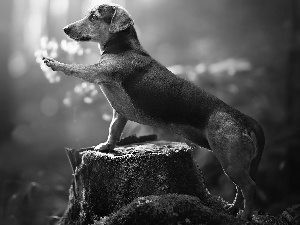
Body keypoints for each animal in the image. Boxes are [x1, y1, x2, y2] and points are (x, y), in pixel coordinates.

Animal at [41, 2, 264, 219]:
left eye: (93, 16)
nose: (65, 29)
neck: (122, 47)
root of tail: (241, 116)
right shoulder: (119, 113)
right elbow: (114, 130)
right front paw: (106, 146)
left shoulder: (98, 72)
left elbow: (75, 68)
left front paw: (53, 63)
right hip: (231, 160)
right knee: (240, 188)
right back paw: (233, 210)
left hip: (230, 160)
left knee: (250, 186)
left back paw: (245, 216)